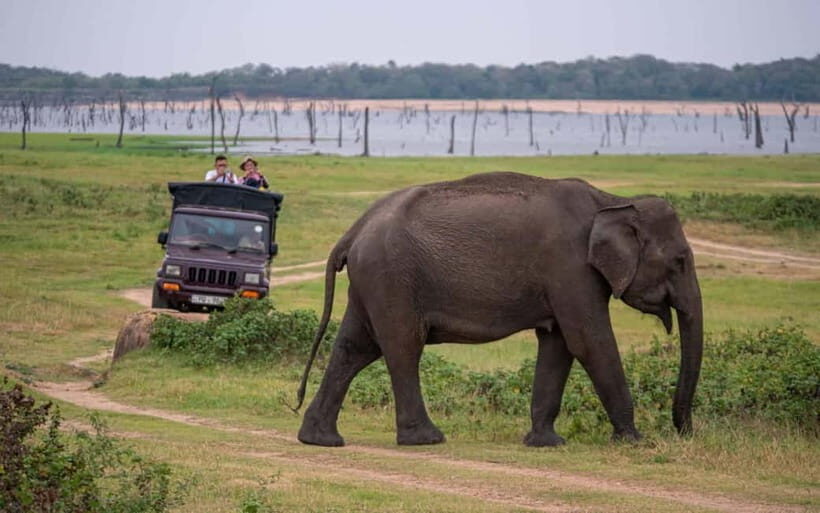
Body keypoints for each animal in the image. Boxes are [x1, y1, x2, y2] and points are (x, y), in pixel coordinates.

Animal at [295, 171, 703, 447]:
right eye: (680, 261)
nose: (684, 432)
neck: (612, 200)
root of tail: (354, 229)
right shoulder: (570, 268)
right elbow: (589, 341)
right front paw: (634, 440)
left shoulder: (565, 279)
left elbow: (558, 344)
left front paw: (545, 442)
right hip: (391, 275)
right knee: (402, 346)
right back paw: (426, 438)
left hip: (372, 279)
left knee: (355, 348)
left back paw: (320, 439)